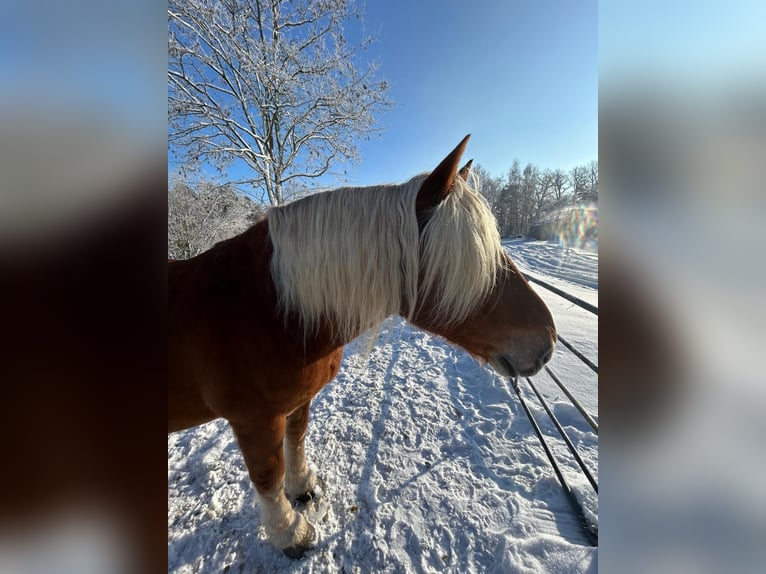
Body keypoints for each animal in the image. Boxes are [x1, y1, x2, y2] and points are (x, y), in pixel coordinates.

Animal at [168, 135, 556, 557]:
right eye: (473, 259)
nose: (548, 342)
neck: (270, 307)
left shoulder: (297, 401)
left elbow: (296, 439)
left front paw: (303, 487)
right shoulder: (254, 420)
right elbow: (269, 478)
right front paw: (291, 533)